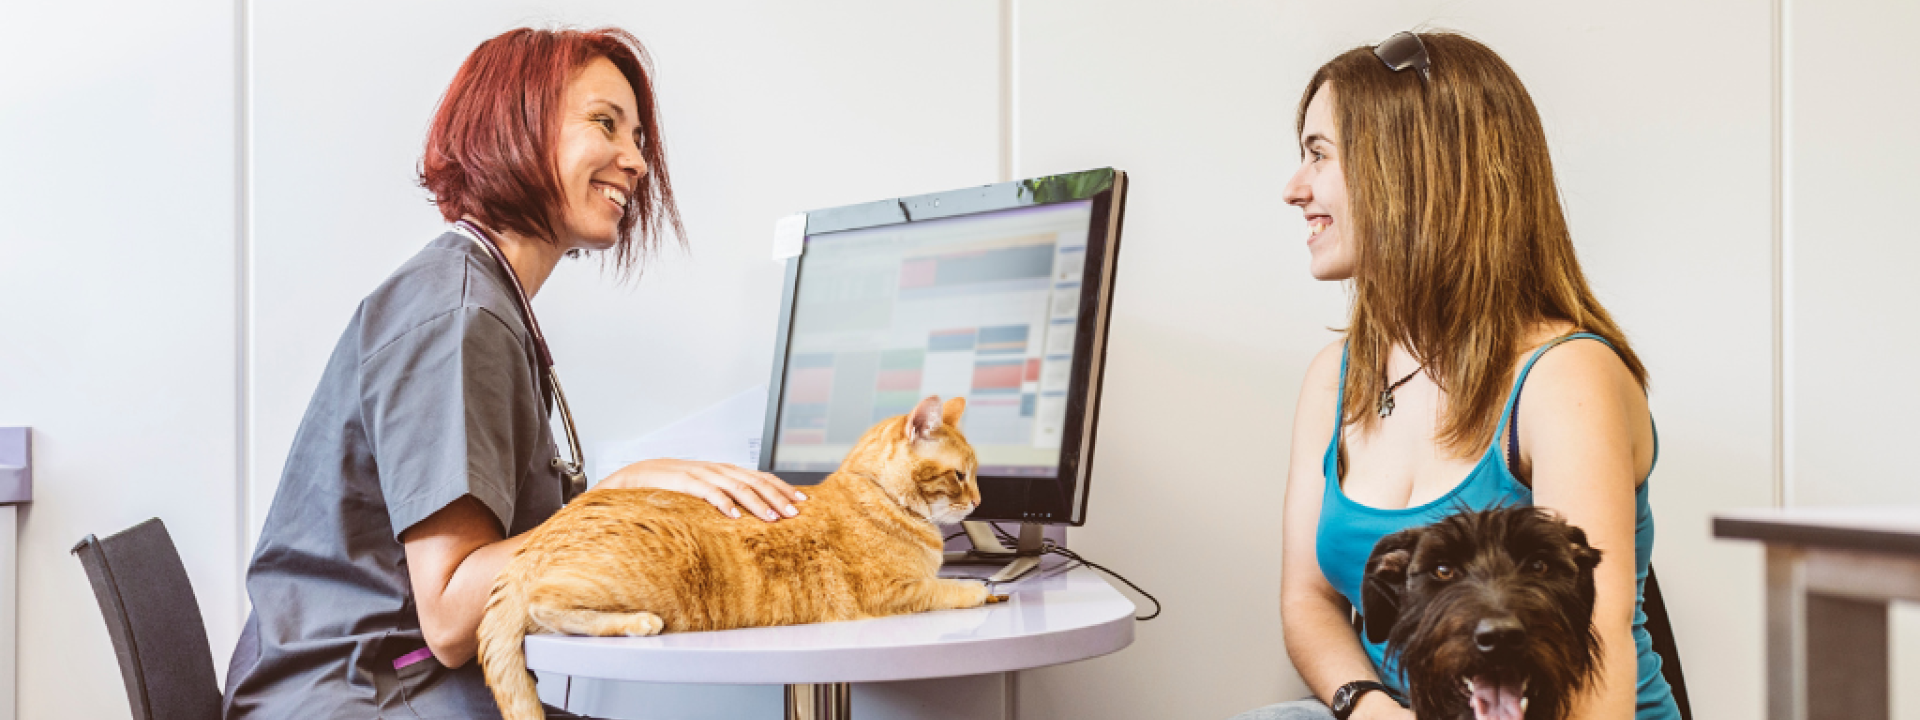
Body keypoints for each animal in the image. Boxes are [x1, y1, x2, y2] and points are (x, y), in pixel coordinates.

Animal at [476, 397, 990, 718]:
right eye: (960, 476)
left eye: (974, 475)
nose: (979, 502)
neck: (876, 493)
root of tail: (539, 537)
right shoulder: (892, 593)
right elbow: (949, 589)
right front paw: (981, 590)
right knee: (544, 605)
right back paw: (637, 622)